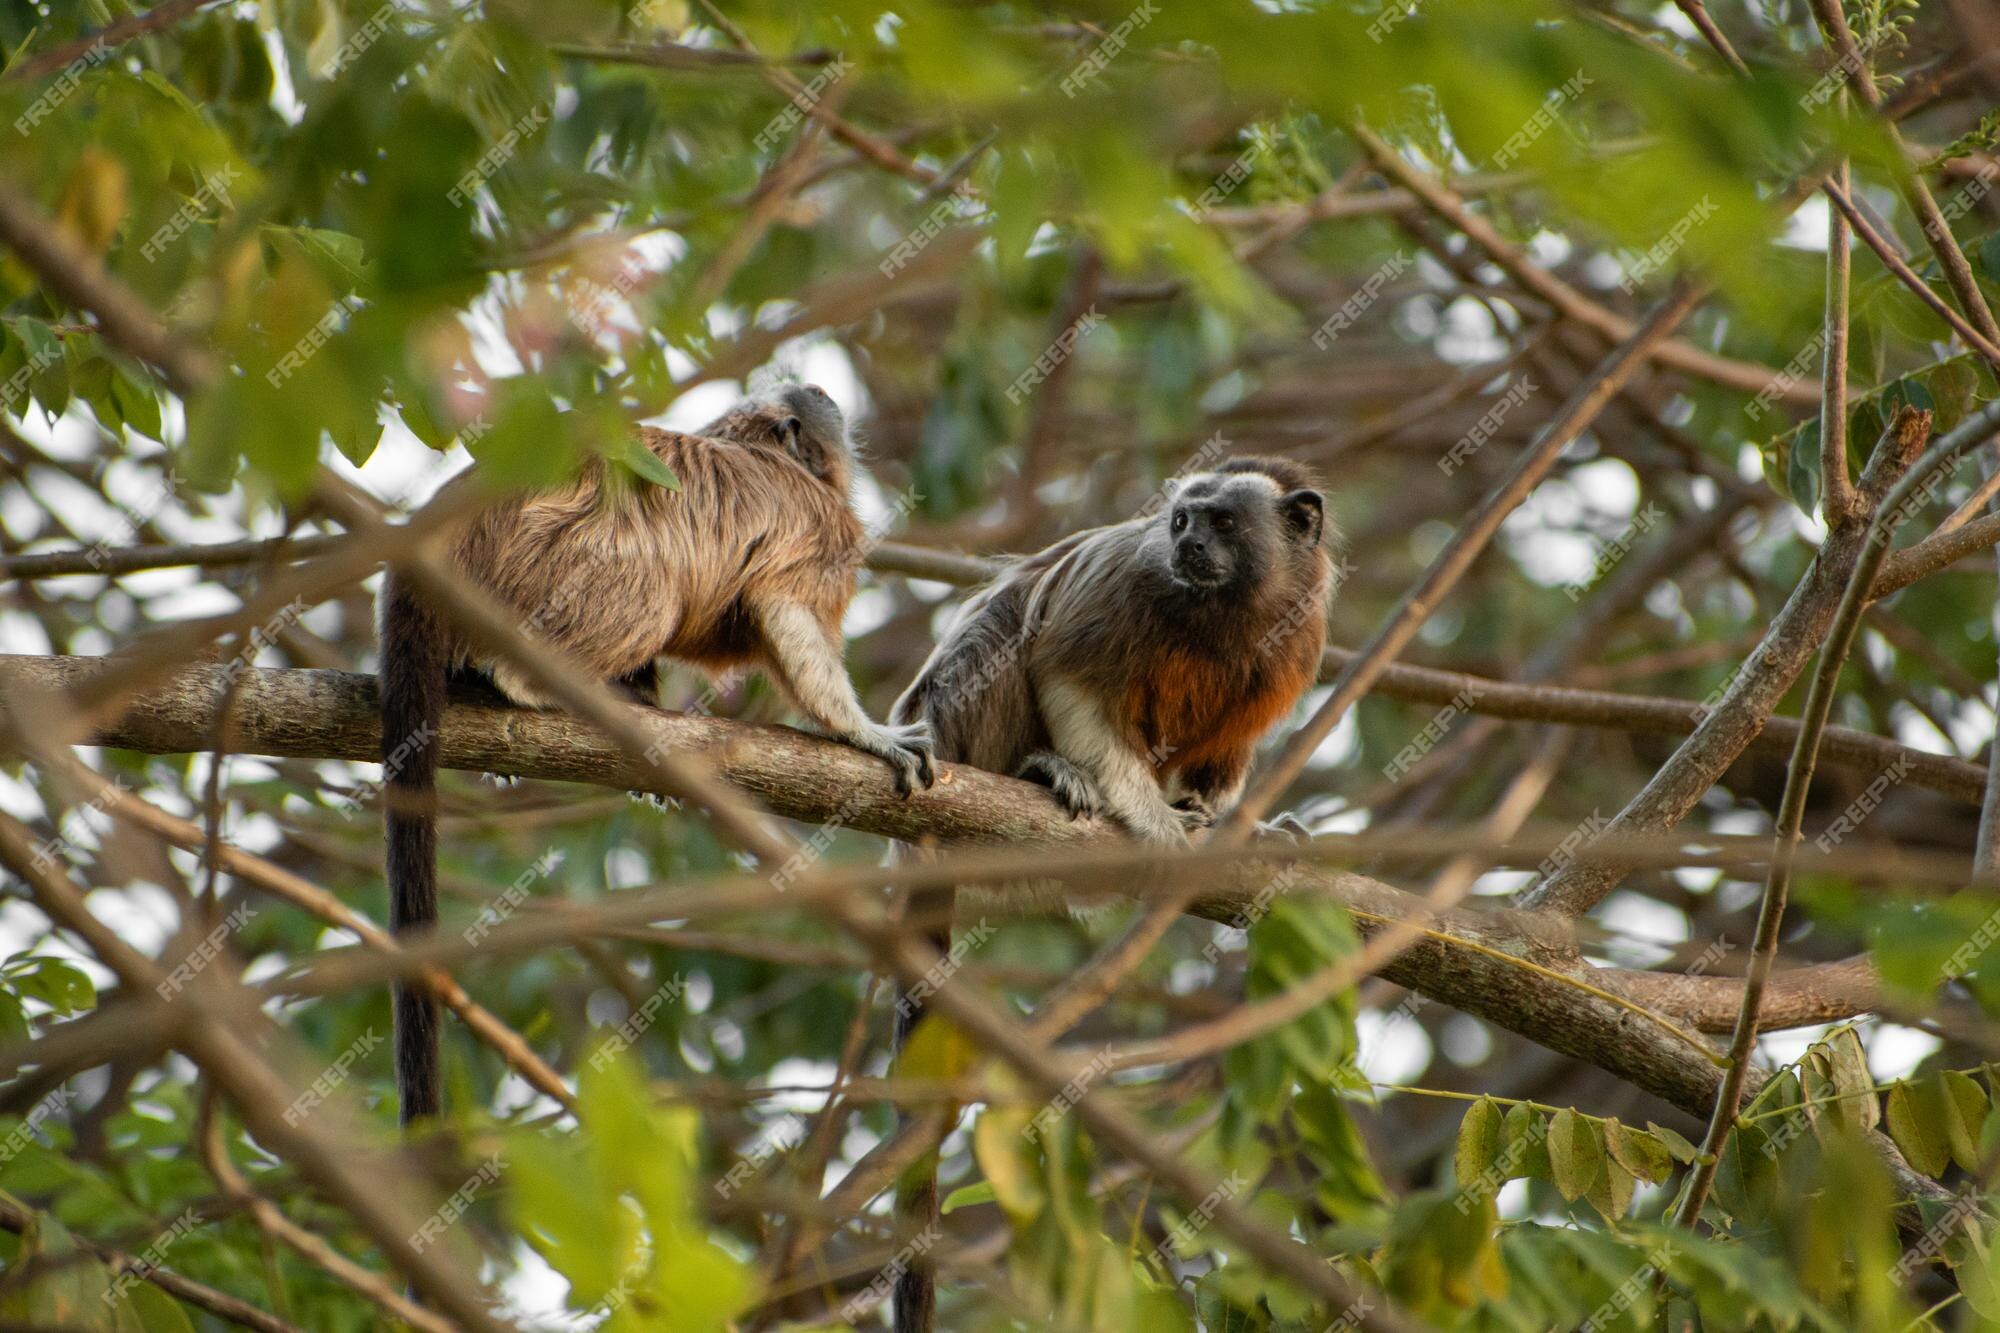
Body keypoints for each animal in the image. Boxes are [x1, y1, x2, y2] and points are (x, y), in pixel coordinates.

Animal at [380, 382, 936, 1120]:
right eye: (806, 403)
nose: (818, 388)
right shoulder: (818, 528)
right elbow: (784, 610)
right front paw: (863, 733)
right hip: (548, 565)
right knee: (651, 584)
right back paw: (532, 683)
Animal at [888, 456, 1328, 1328]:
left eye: (1222, 523)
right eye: (1182, 521)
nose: (1186, 542)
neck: (1228, 610)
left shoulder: (1298, 638)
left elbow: (1226, 754)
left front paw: (1230, 825)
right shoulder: (1124, 578)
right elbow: (1066, 673)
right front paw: (1152, 820)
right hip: (953, 720)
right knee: (1003, 629)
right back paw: (1037, 772)